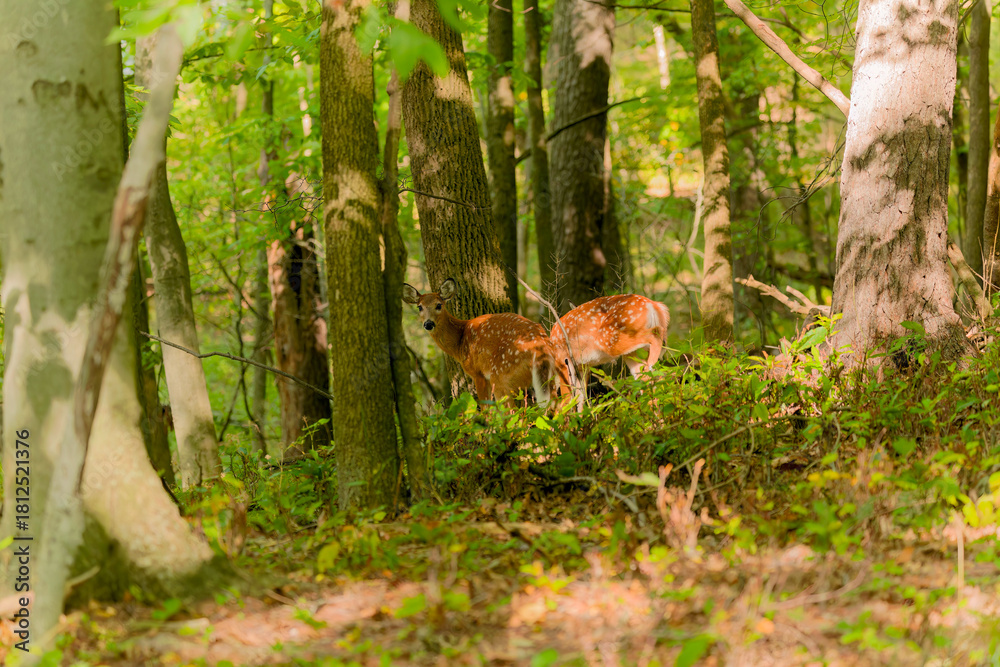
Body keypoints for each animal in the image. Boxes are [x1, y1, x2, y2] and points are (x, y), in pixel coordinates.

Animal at [403, 279, 569, 408]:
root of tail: (541, 347)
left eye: (438, 305)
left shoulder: (477, 372)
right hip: (550, 375)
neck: (460, 341)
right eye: (419, 307)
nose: (428, 324)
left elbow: (485, 407)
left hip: (502, 375)